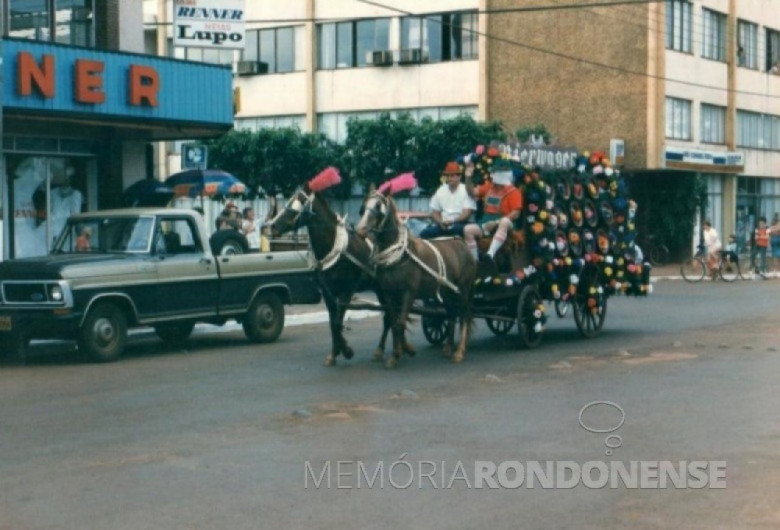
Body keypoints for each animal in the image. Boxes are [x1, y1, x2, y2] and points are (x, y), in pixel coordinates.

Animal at [272, 185, 396, 364]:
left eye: (298, 204)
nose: (273, 226)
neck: (333, 248)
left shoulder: (346, 292)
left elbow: (337, 322)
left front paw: (346, 351)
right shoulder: (328, 293)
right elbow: (333, 323)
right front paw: (334, 353)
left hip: (383, 290)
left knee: (389, 317)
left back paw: (380, 350)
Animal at [354, 190, 476, 368]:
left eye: (378, 207)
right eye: (363, 207)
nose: (360, 230)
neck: (400, 256)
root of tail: (463, 244)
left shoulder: (408, 293)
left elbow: (400, 322)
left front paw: (399, 353)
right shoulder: (388, 294)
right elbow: (393, 321)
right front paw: (400, 352)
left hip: (463, 291)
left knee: (464, 315)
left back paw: (459, 352)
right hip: (446, 293)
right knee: (451, 314)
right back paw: (447, 348)